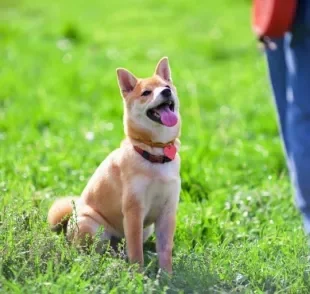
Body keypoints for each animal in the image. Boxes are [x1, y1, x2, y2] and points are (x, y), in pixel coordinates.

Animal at [47, 56, 180, 274]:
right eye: (146, 93)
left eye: (167, 86)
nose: (166, 92)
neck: (154, 153)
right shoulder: (134, 211)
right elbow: (136, 252)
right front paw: (138, 276)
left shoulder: (167, 212)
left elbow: (165, 250)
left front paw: (167, 276)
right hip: (91, 225)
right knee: (88, 251)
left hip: (146, 229)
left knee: (120, 249)